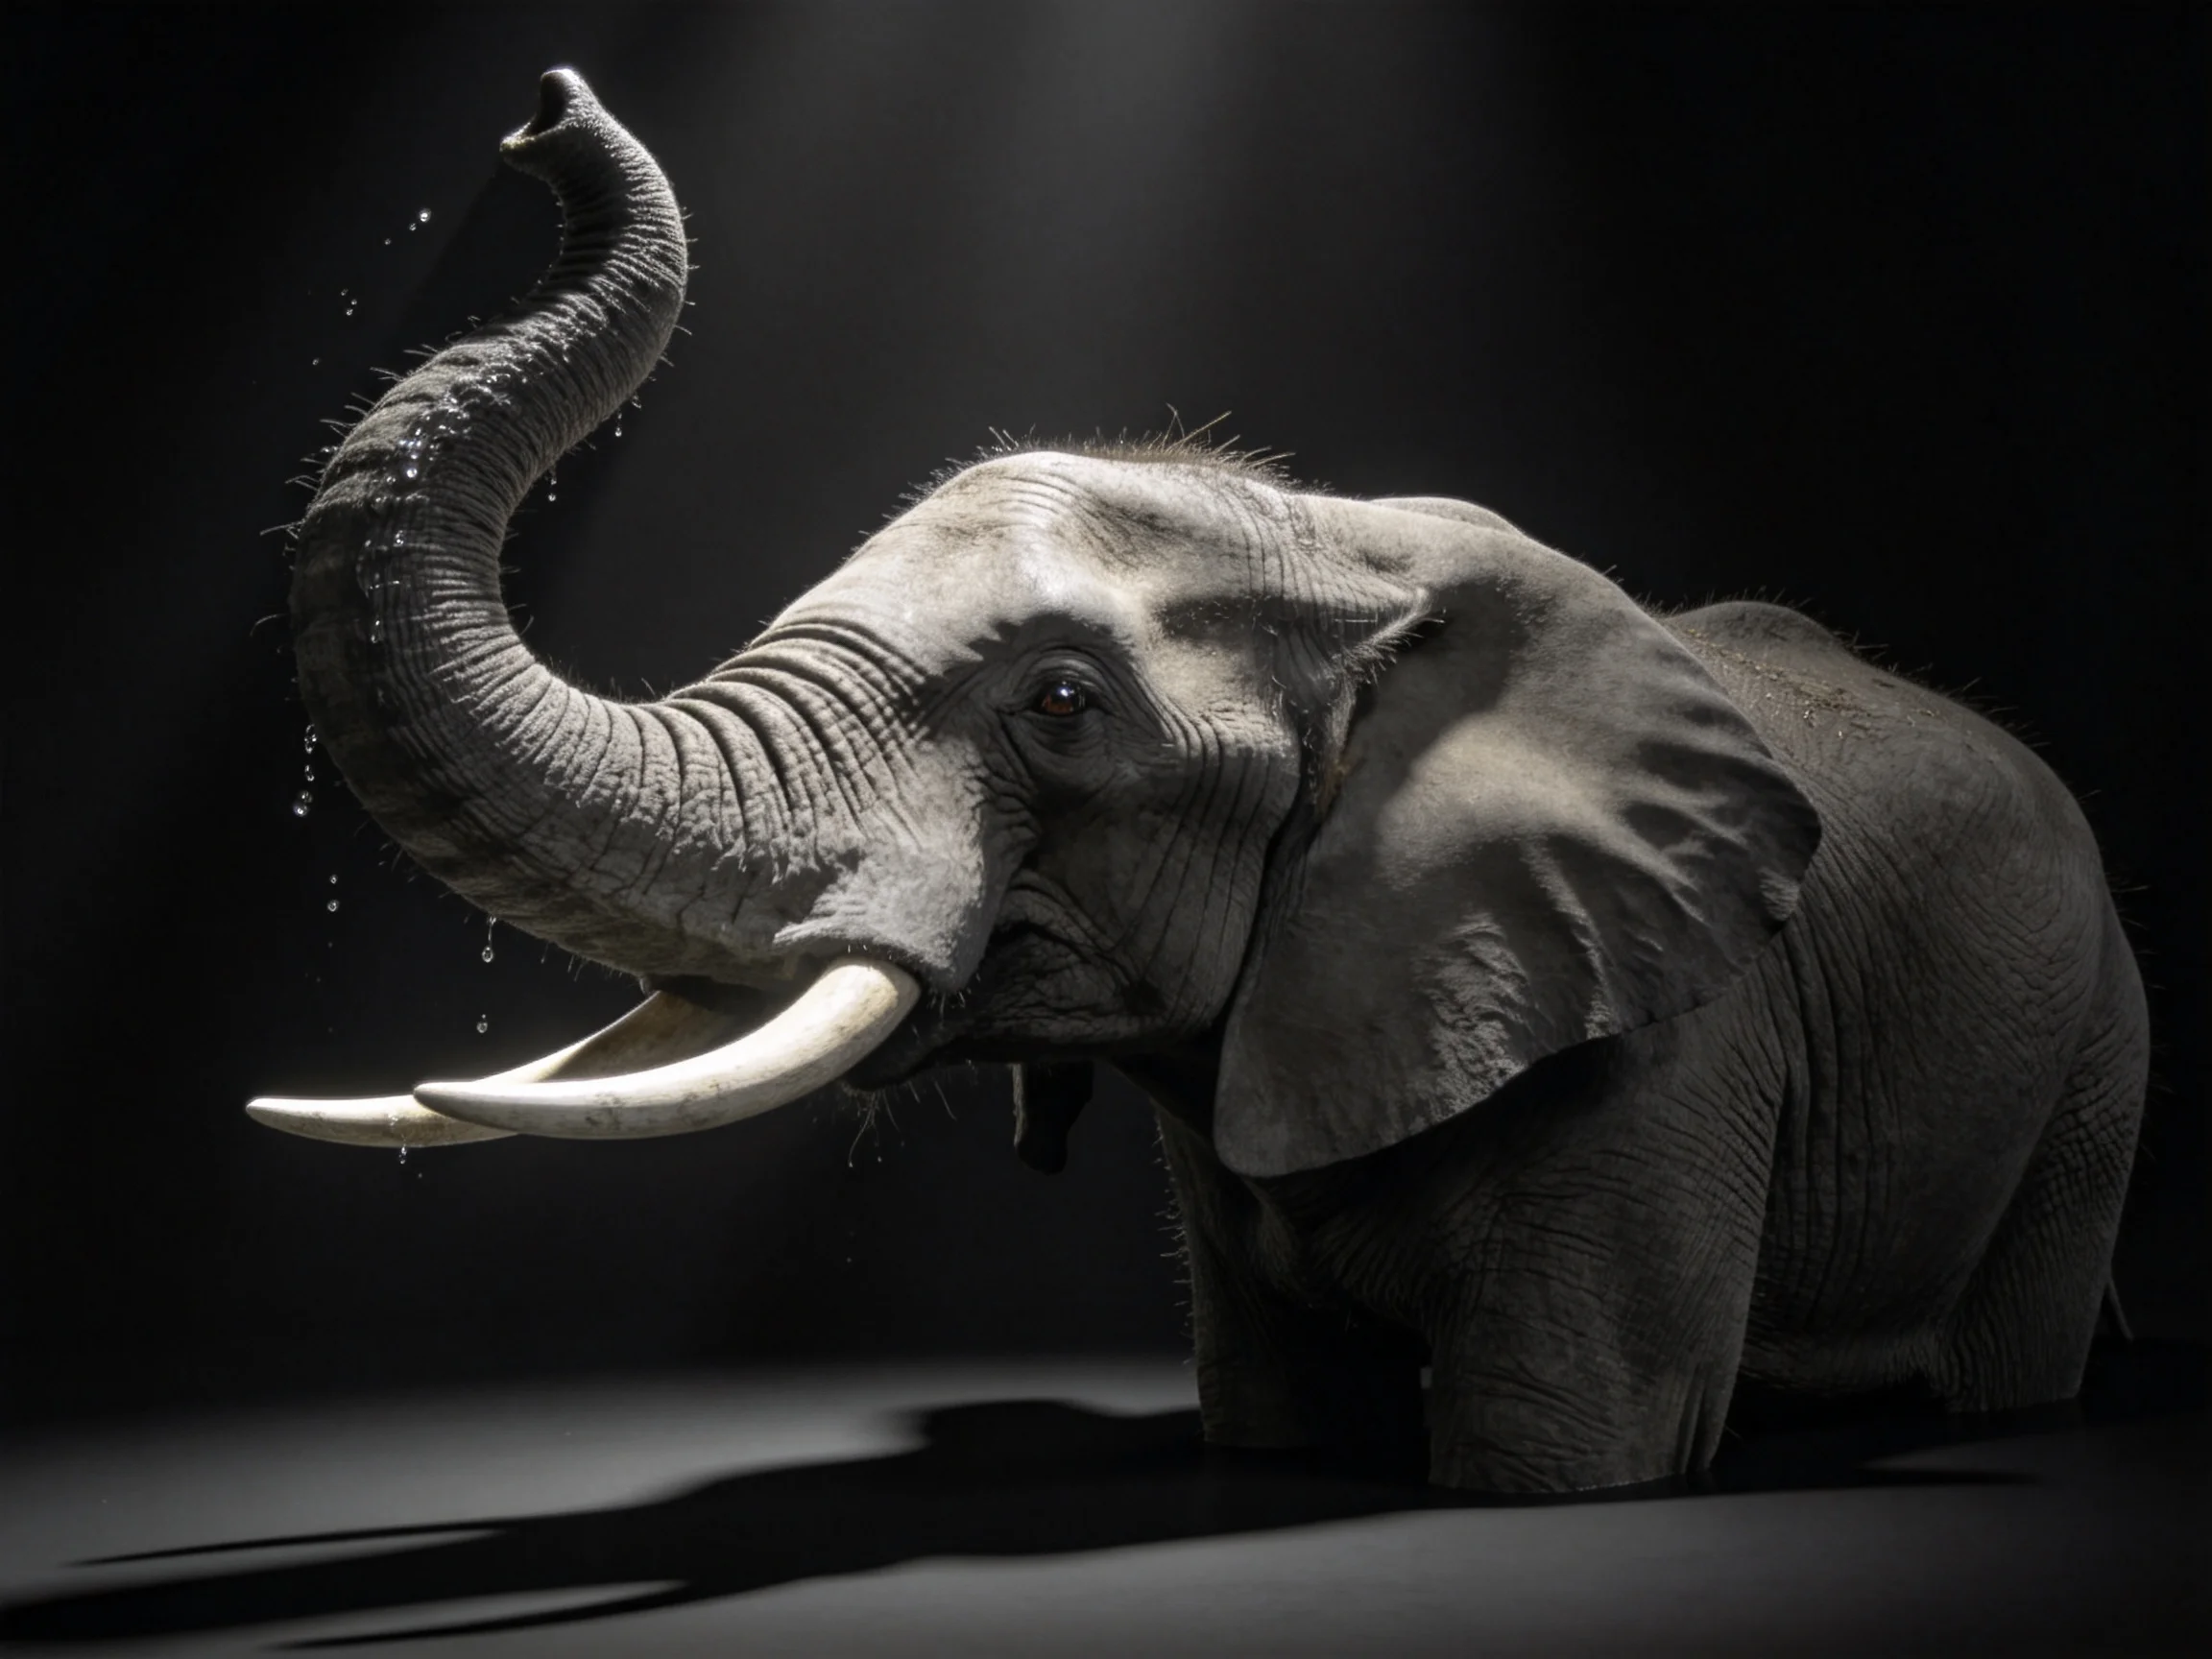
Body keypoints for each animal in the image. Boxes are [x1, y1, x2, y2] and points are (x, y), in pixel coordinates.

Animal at [251, 70, 2149, 1495]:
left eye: (1062, 705)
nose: (539, 112)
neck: (1347, 542)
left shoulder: (1670, 1043)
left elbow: (1566, 1443)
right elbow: (1269, 1410)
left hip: (2093, 1069)